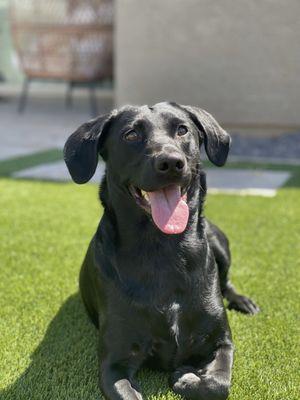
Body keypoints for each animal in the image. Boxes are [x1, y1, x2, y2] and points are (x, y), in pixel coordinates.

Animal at [64, 103, 258, 400]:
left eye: (182, 130)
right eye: (131, 134)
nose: (171, 163)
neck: (162, 249)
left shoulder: (222, 341)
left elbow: (218, 384)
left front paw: (185, 377)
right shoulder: (113, 363)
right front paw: (185, 375)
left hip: (218, 242)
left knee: (226, 282)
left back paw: (242, 301)